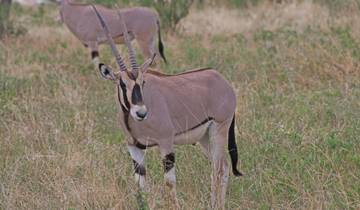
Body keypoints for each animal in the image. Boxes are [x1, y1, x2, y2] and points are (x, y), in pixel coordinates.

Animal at [90, 5, 242, 209]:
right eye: (122, 84)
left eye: (143, 82)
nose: (141, 113)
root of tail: (221, 80)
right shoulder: (134, 148)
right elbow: (141, 187)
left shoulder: (165, 143)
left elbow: (169, 184)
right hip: (204, 137)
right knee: (223, 166)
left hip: (219, 129)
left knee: (218, 169)